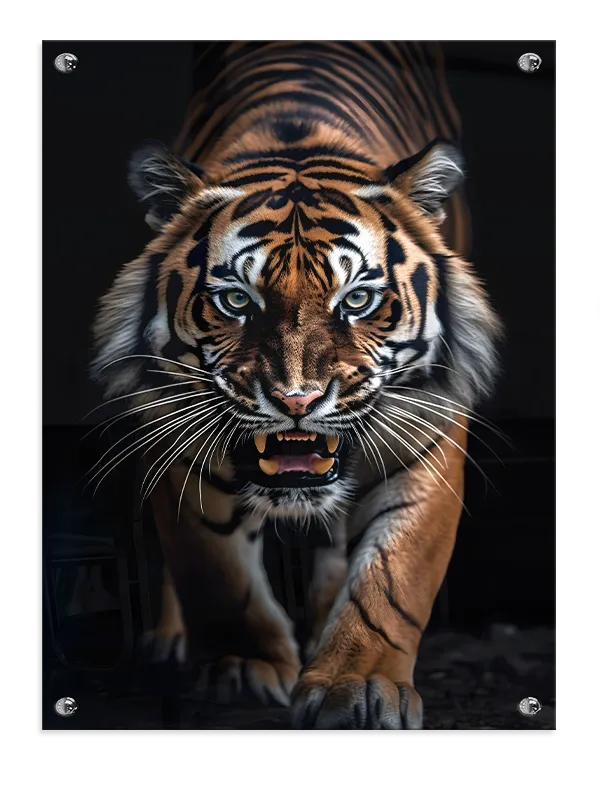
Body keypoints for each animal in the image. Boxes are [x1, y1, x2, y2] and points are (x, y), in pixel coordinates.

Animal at [91, 41, 501, 730]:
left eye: (358, 299)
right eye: (235, 300)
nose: (297, 401)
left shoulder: (430, 427)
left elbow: (393, 576)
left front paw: (358, 685)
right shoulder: (178, 427)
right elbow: (216, 568)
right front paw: (243, 670)